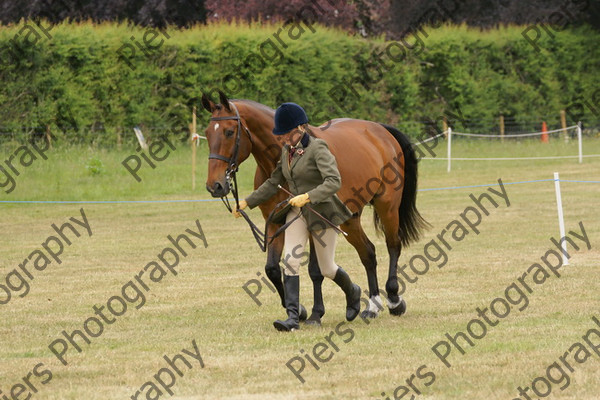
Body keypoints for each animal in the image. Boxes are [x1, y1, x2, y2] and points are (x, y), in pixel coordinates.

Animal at [204, 91, 428, 322]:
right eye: (207, 134)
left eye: (229, 132)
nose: (215, 186)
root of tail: (380, 130)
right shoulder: (275, 222)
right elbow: (273, 269)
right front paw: (298, 309)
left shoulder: (315, 224)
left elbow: (315, 270)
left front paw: (316, 313)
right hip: (349, 218)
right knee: (368, 253)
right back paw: (372, 305)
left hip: (387, 206)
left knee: (393, 245)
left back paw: (394, 300)